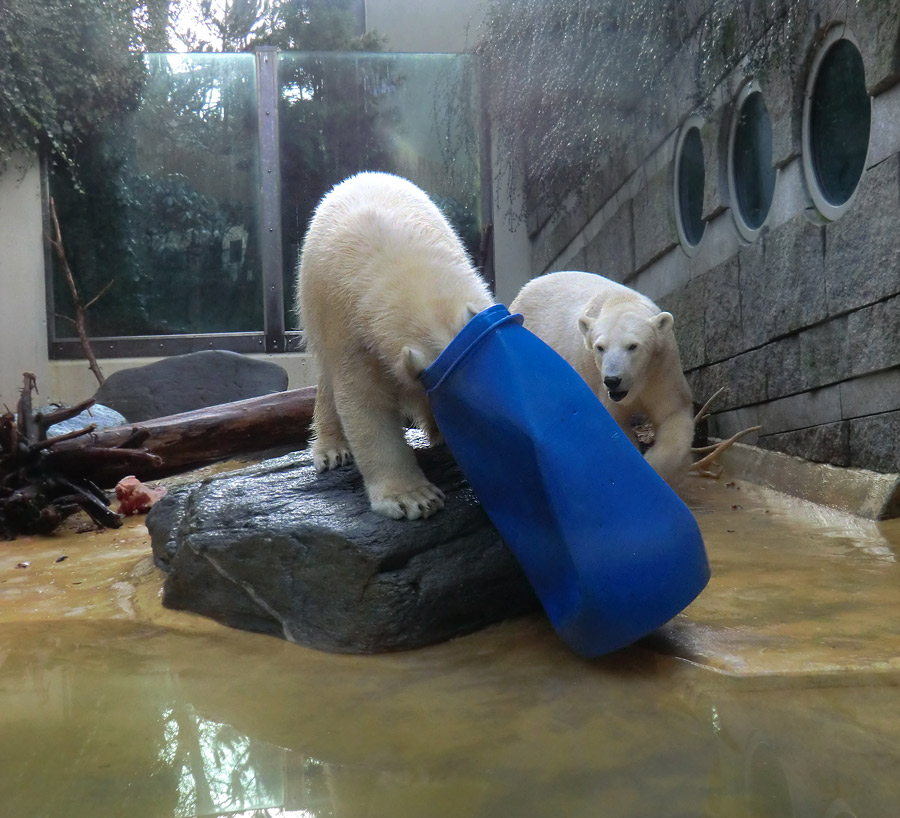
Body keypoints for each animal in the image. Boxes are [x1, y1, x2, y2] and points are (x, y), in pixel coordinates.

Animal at [298, 170, 492, 520]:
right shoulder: (350, 326)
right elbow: (365, 401)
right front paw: (414, 498)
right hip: (312, 312)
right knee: (327, 377)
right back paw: (331, 450)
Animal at [510, 268, 692, 484]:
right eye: (600, 347)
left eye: (632, 346)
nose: (612, 380)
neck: (619, 300)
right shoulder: (597, 383)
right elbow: (613, 427)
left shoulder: (661, 370)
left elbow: (673, 413)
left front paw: (653, 465)